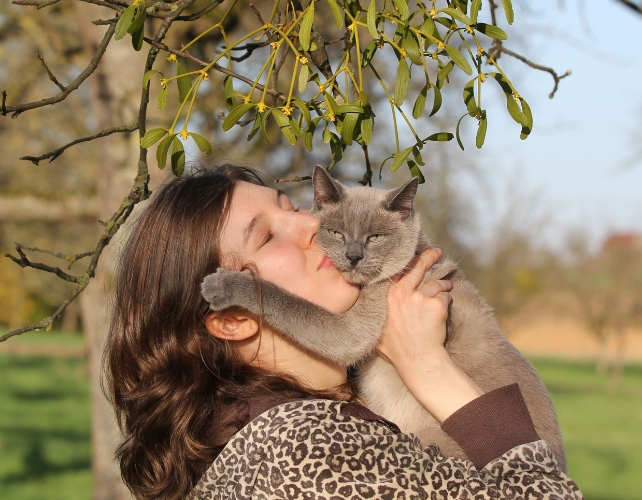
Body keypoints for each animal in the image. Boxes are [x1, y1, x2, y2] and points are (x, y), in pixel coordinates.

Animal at [201, 166, 564, 470]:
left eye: (375, 237)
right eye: (336, 233)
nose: (353, 257)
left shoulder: (353, 329)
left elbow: (283, 298)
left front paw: (218, 284)